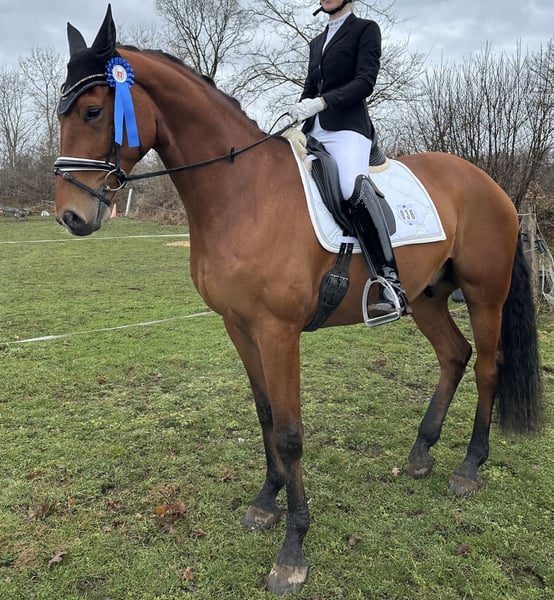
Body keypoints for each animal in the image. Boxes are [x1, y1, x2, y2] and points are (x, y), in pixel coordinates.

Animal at [53, 7, 544, 595]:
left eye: (93, 109)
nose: (71, 217)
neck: (240, 191)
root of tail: (488, 184)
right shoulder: (238, 326)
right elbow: (265, 413)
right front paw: (266, 502)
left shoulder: (278, 330)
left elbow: (290, 433)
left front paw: (292, 551)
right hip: (426, 297)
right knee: (455, 355)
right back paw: (421, 453)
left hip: (484, 293)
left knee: (489, 366)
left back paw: (468, 468)